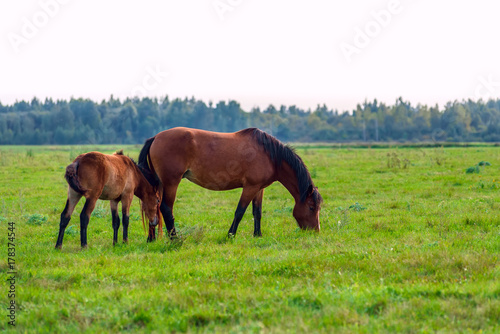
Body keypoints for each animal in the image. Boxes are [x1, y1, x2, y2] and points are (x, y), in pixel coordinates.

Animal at [138, 126, 324, 239]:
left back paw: (151, 239)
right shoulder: (250, 187)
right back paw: (175, 239)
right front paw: (230, 235)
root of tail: (155, 137)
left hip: (160, 183)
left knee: (153, 206)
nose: (316, 231)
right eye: (311, 207)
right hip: (171, 183)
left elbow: (257, 212)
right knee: (166, 208)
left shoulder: (259, 189)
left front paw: (258, 235)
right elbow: (240, 212)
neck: (270, 155)